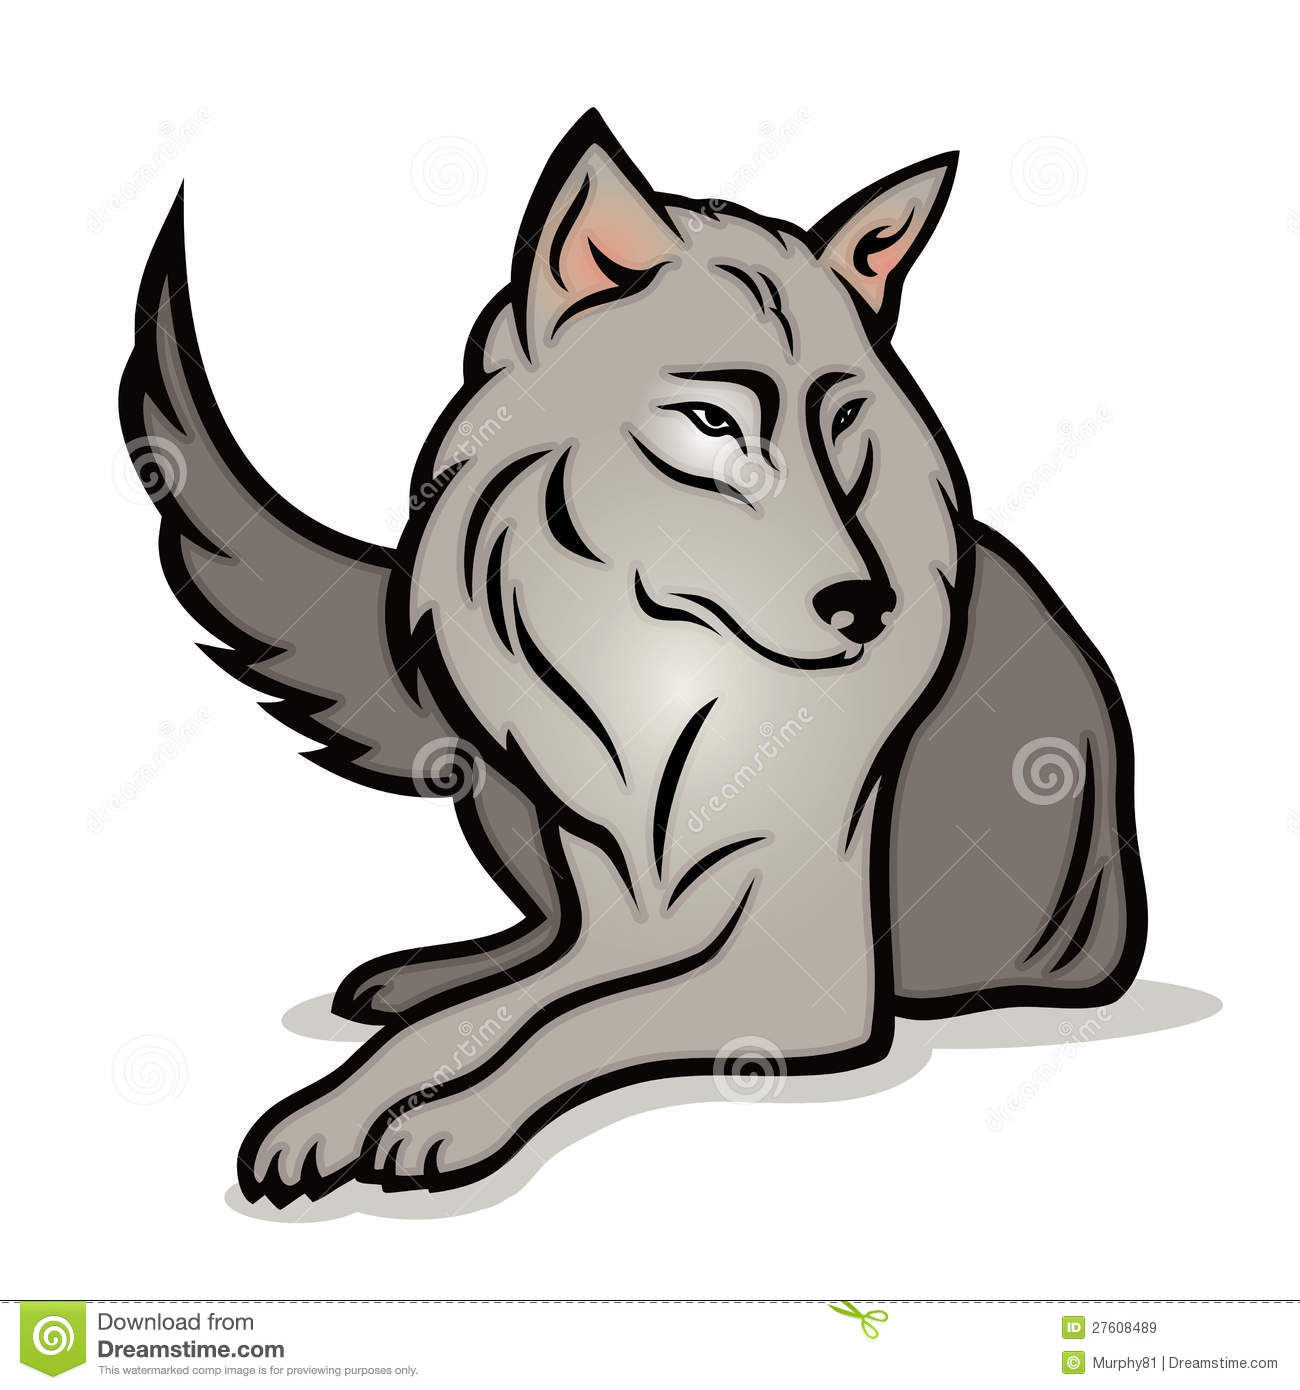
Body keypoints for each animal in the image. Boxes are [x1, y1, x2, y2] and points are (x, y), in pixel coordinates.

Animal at [120, 110, 1145, 1205]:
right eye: (712, 422)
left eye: (840, 420)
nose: (867, 607)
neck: (681, 687)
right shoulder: (626, 920)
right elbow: (482, 1019)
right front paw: (329, 1111)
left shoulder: (799, 978)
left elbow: (578, 1021)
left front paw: (448, 1120)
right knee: (521, 946)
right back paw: (421, 972)